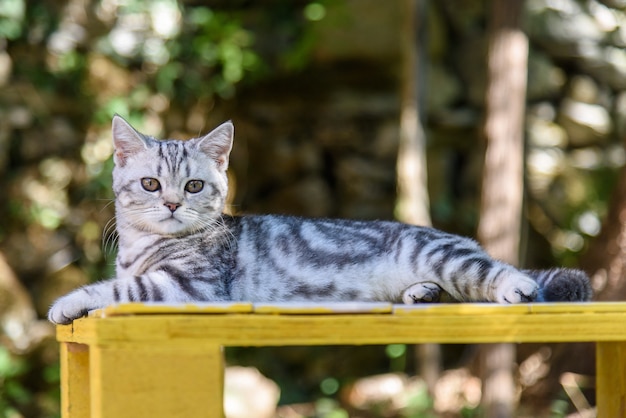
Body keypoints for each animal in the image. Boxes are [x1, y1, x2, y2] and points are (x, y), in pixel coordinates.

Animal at [46, 116, 588, 324]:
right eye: (151, 185)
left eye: (194, 186)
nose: (174, 205)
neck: (142, 247)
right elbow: (120, 282)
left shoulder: (189, 288)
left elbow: (118, 288)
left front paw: (67, 302)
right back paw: (421, 294)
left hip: (445, 256)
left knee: (497, 273)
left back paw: (515, 287)